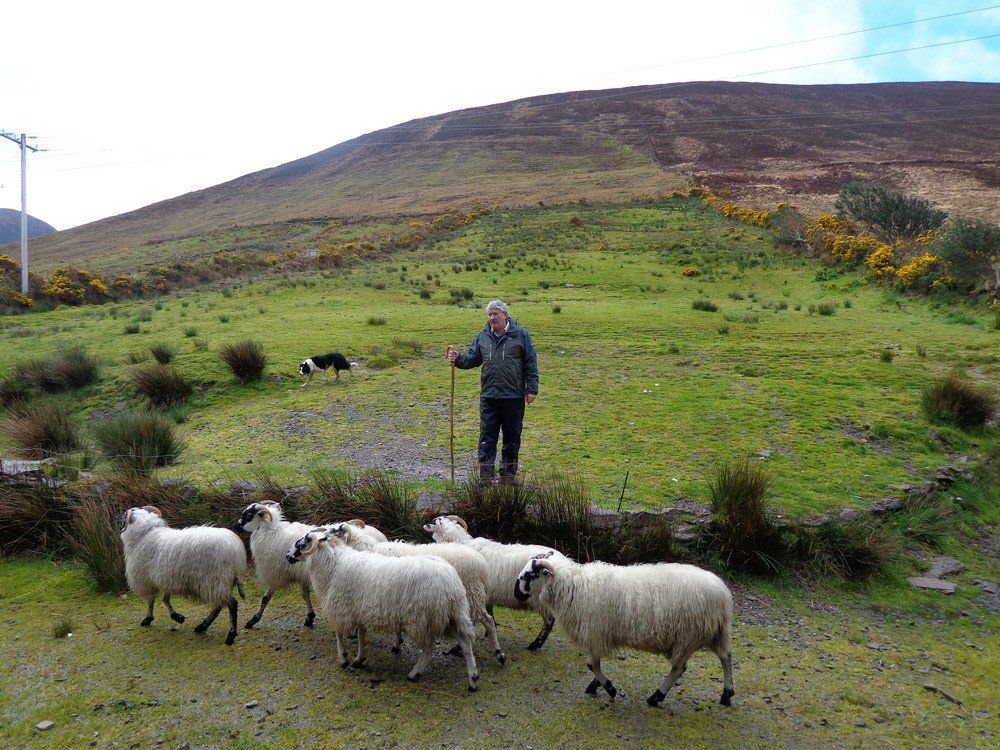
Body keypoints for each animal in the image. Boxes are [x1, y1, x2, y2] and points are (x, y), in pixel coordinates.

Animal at [118, 508, 248, 648]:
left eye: (125, 515)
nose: (116, 517)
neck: (145, 534)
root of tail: (236, 552)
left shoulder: (147, 580)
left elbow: (151, 601)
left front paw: (148, 619)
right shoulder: (166, 578)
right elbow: (165, 599)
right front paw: (177, 617)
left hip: (215, 581)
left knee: (231, 604)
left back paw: (230, 635)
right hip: (220, 583)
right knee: (218, 605)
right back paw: (202, 627)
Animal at [286, 524, 480, 692]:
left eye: (301, 544)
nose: (287, 556)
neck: (333, 565)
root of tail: (450, 582)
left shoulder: (341, 609)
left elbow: (339, 634)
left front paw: (343, 658)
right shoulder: (359, 610)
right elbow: (361, 635)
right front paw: (359, 658)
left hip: (421, 619)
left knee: (428, 648)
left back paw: (415, 673)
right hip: (456, 612)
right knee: (465, 642)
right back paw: (473, 679)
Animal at [330, 524, 504, 664]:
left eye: (335, 532)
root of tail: (481, 564)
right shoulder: (394, 599)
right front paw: (397, 643)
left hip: (471, 593)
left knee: (487, 621)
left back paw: (498, 653)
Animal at [422, 516, 568, 652]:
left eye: (434, 522)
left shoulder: (473, 594)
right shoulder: (487, 596)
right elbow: (490, 614)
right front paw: (490, 634)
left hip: (539, 598)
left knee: (549, 621)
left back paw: (535, 644)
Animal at [516, 548, 736, 708]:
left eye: (530, 575)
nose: (517, 594)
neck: (572, 586)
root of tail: (723, 593)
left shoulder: (595, 633)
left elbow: (592, 665)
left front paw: (609, 688)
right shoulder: (598, 635)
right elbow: (595, 665)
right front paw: (596, 685)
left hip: (688, 635)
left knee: (679, 668)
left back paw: (656, 697)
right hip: (714, 632)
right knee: (726, 657)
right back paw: (727, 694)